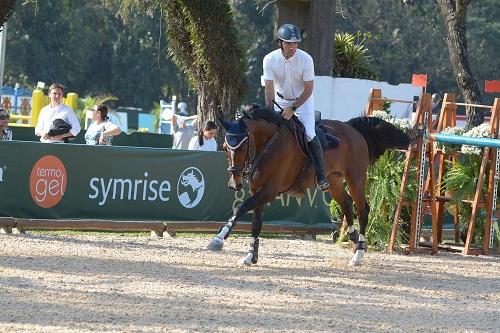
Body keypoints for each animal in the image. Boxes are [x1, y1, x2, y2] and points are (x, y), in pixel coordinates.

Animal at [207, 105, 410, 266]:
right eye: (225, 148)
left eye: (242, 147)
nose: (235, 184)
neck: (269, 144)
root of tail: (352, 129)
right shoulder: (258, 190)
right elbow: (256, 223)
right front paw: (250, 256)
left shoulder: (269, 191)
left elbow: (240, 207)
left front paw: (219, 238)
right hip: (334, 182)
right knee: (346, 203)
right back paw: (354, 240)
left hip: (355, 179)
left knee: (362, 209)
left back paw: (358, 254)